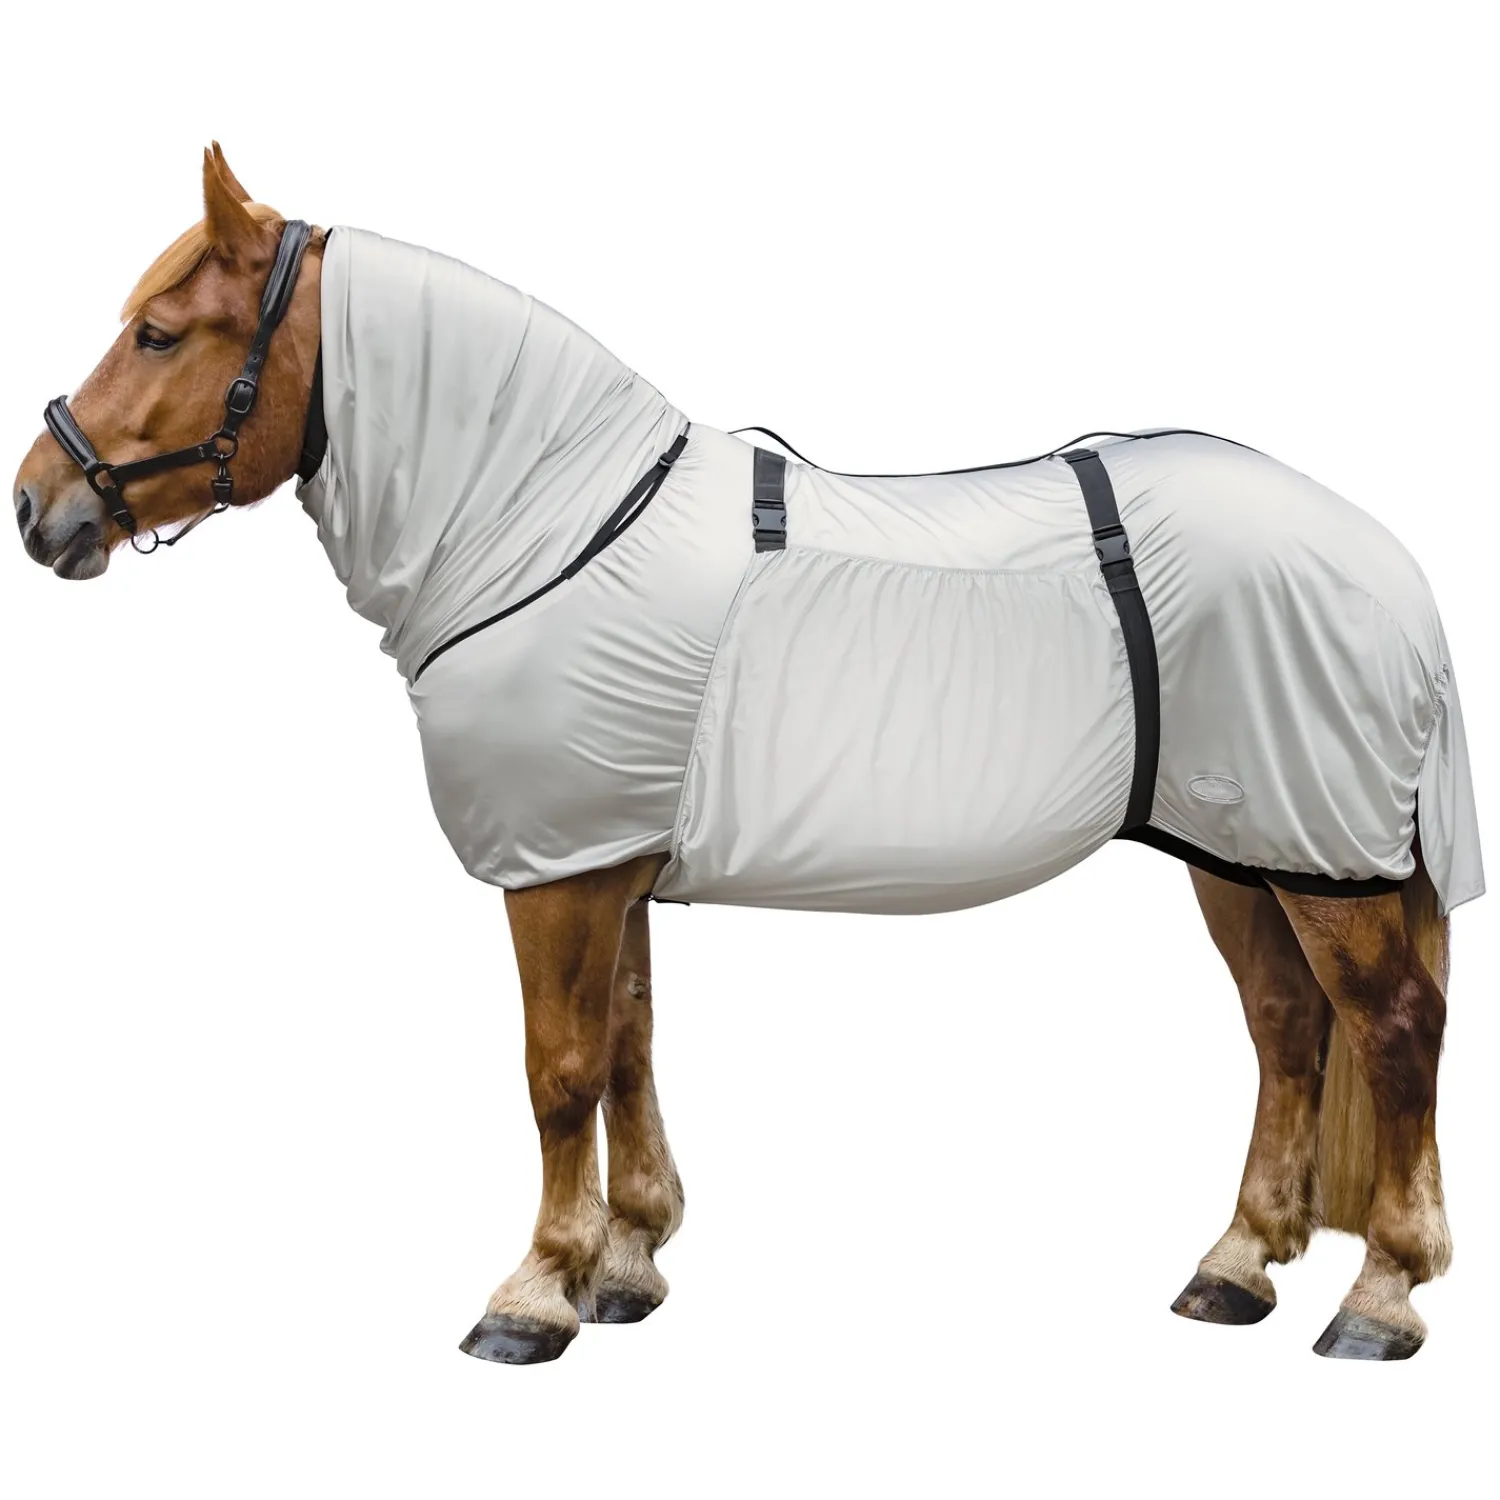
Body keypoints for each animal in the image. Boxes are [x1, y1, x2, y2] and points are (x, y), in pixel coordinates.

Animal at [12, 146, 1482, 1365]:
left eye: (157, 331)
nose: (37, 505)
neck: (545, 525)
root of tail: (1387, 562)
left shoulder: (555, 871)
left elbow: (558, 1073)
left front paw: (535, 1294)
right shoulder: (606, 856)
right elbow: (626, 1048)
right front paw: (626, 1265)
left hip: (1318, 857)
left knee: (1395, 1029)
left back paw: (1382, 1296)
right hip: (1243, 847)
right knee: (1289, 1029)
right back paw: (1235, 1268)